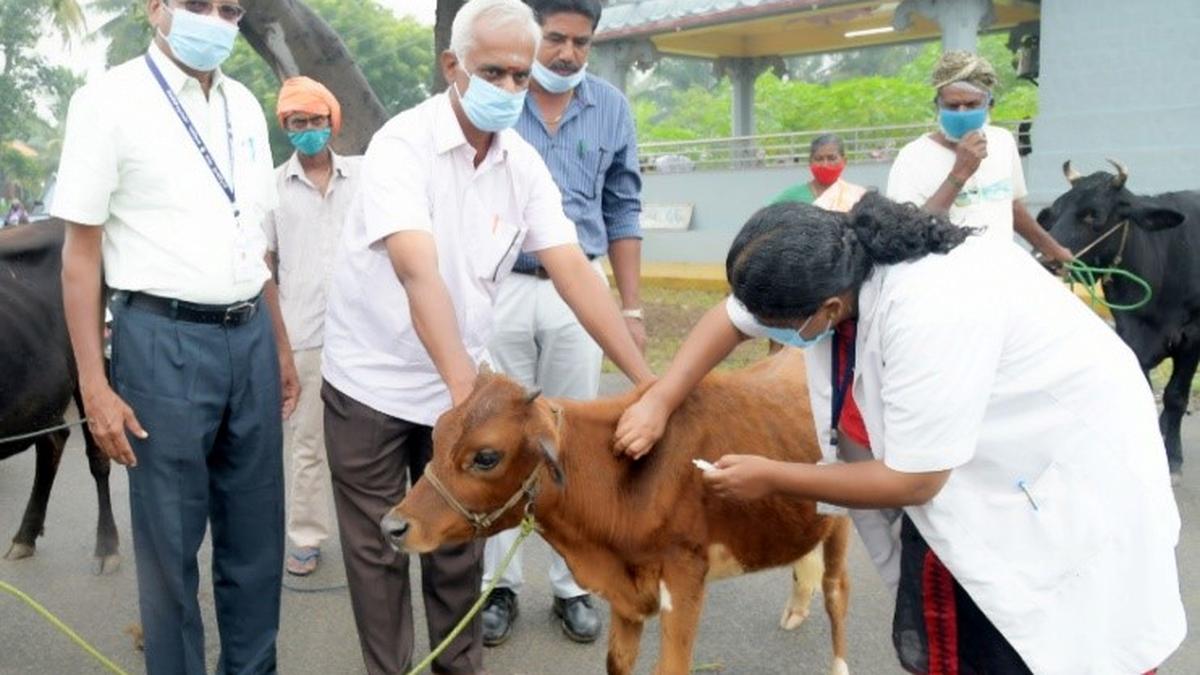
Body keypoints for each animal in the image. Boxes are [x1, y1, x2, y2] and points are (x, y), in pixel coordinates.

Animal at [382, 350, 852, 675]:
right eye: (438, 434)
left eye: (485, 457)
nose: (392, 525)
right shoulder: (626, 591)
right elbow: (618, 663)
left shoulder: (684, 577)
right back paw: (795, 609)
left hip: (843, 518)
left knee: (836, 591)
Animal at [1039, 159, 1200, 485]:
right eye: (1056, 212)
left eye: (1093, 215)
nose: (1045, 258)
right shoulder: (1131, 336)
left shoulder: (1193, 337)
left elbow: (1176, 397)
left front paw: (1172, 460)